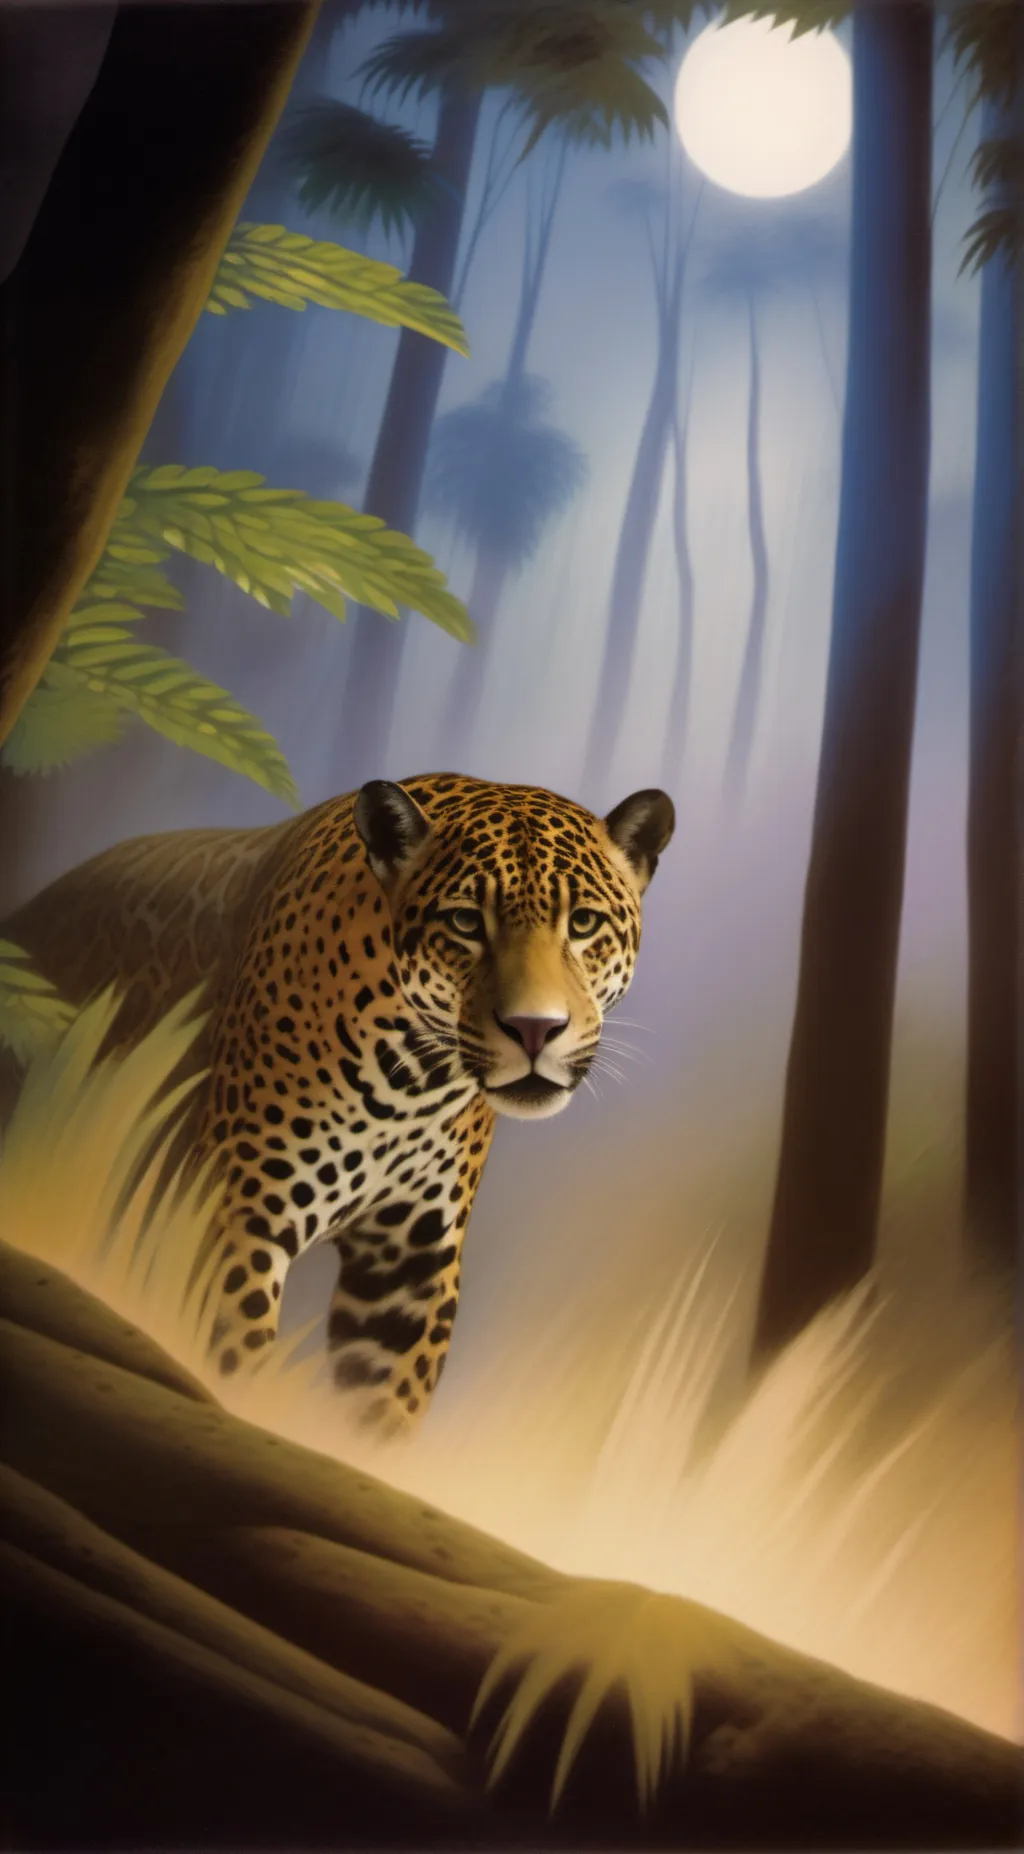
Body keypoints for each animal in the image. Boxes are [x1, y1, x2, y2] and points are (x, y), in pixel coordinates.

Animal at [3, 774, 674, 1432]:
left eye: (583, 924)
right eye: (464, 922)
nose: (535, 1029)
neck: (414, 1083)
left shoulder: (409, 1271)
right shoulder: (231, 1225)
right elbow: (226, 1363)